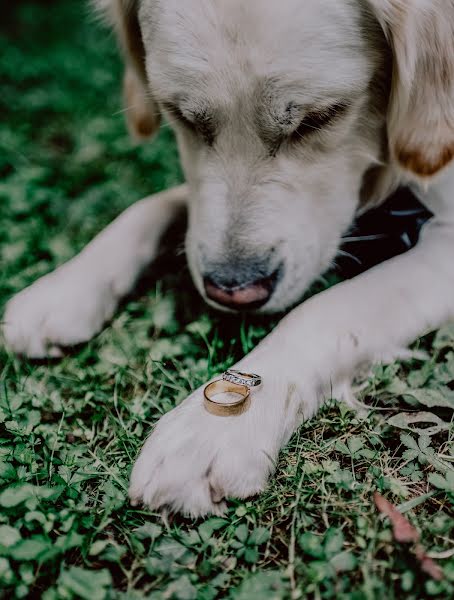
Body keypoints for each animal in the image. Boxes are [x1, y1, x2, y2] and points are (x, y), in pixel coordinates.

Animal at [1, 0, 452, 516]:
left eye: (319, 118)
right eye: (181, 116)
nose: (233, 291)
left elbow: (324, 309)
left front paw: (213, 430)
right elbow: (155, 205)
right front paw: (62, 290)